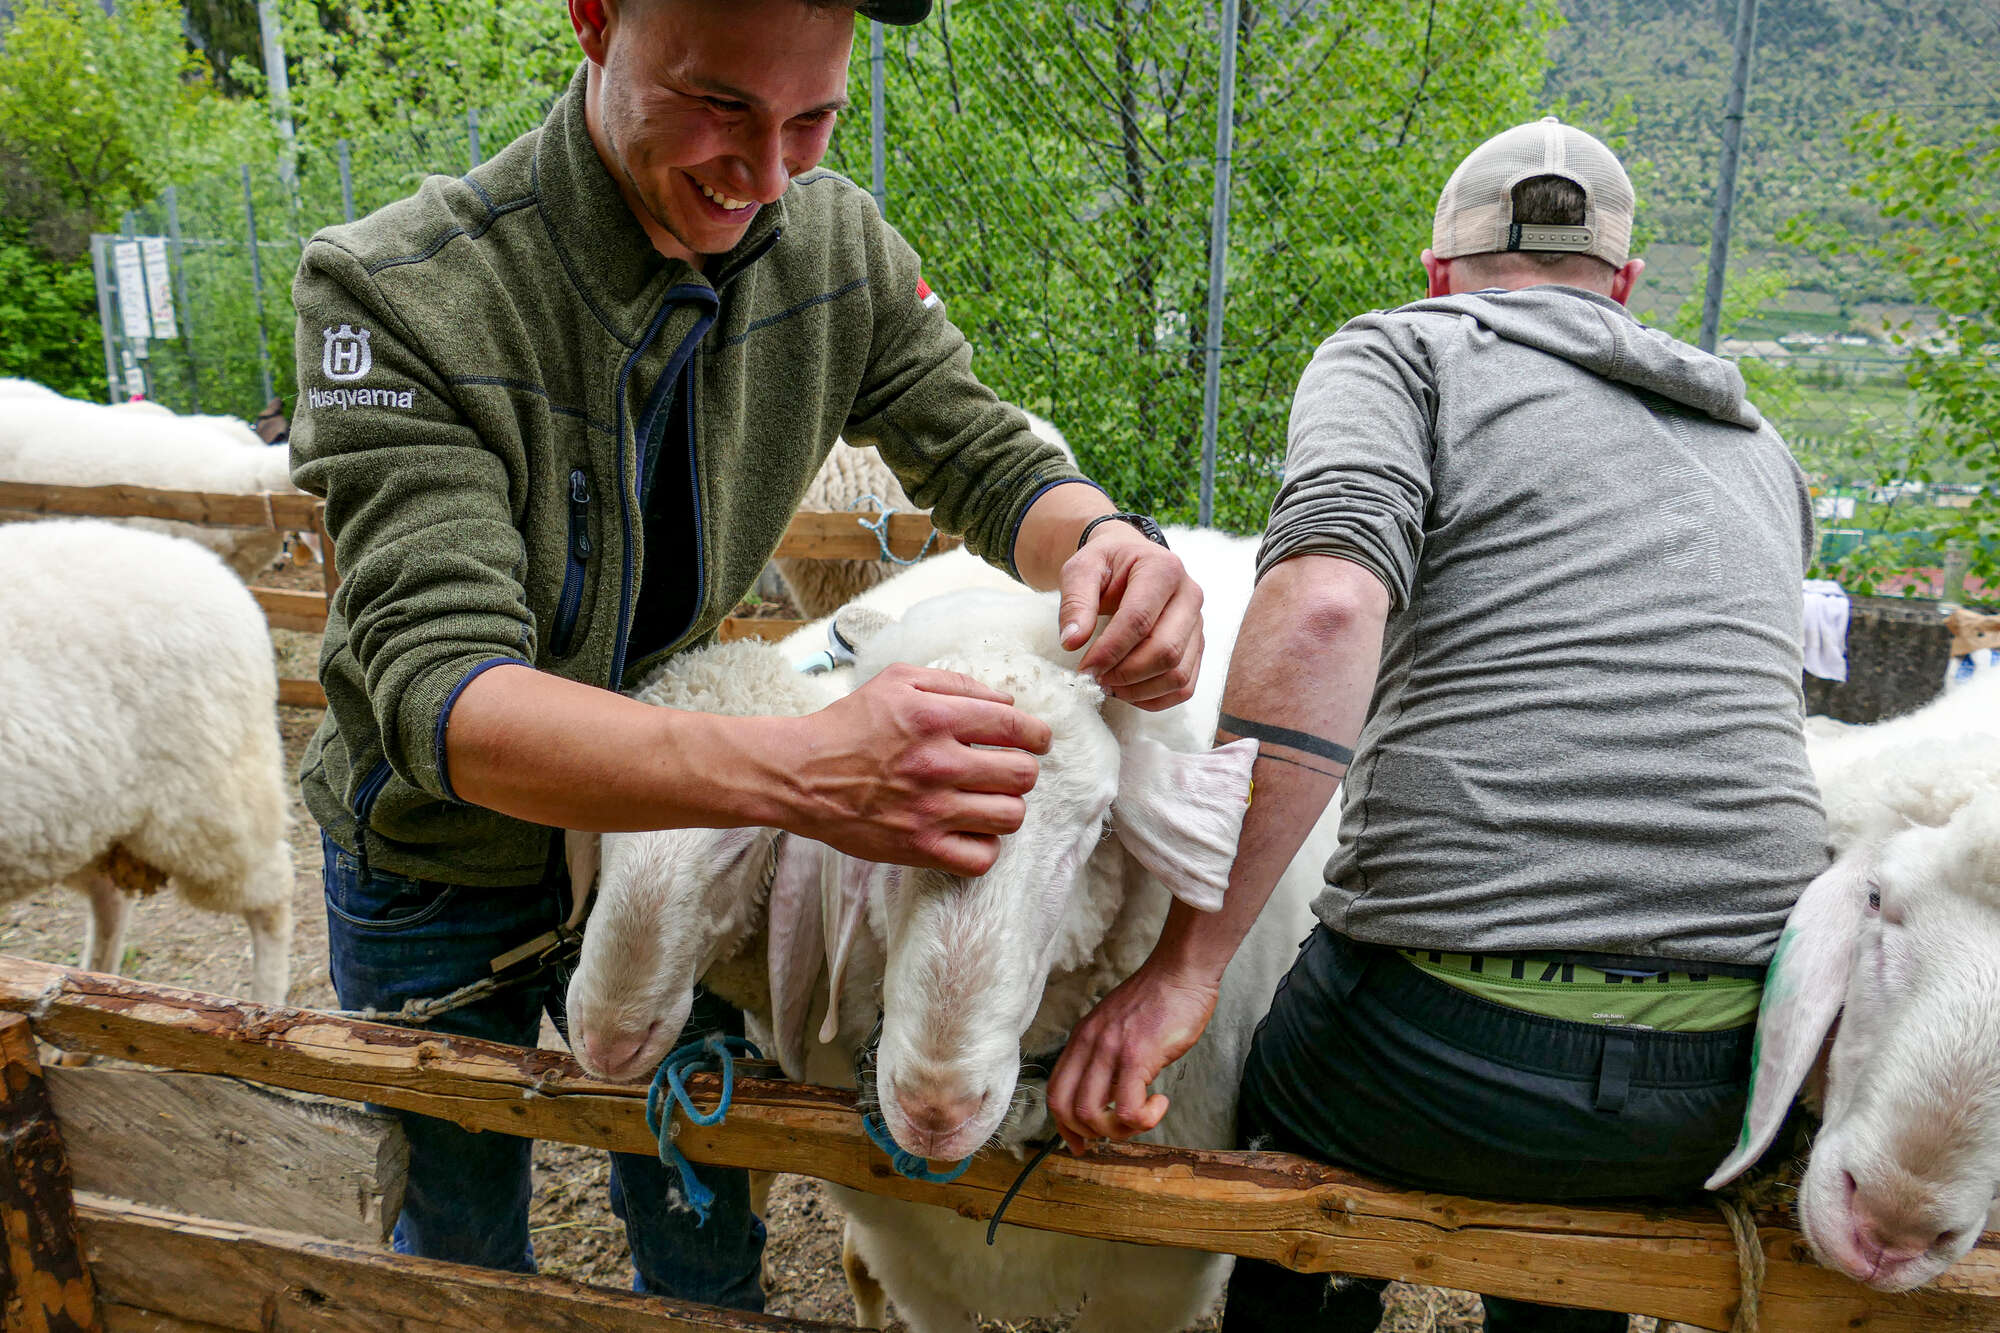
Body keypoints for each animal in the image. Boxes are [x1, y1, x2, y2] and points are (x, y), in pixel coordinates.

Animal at [0, 520, 295, 1004]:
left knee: (271, 900)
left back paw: (265, 1007)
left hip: (214, 800)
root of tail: (209, 568)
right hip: (79, 822)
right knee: (111, 899)